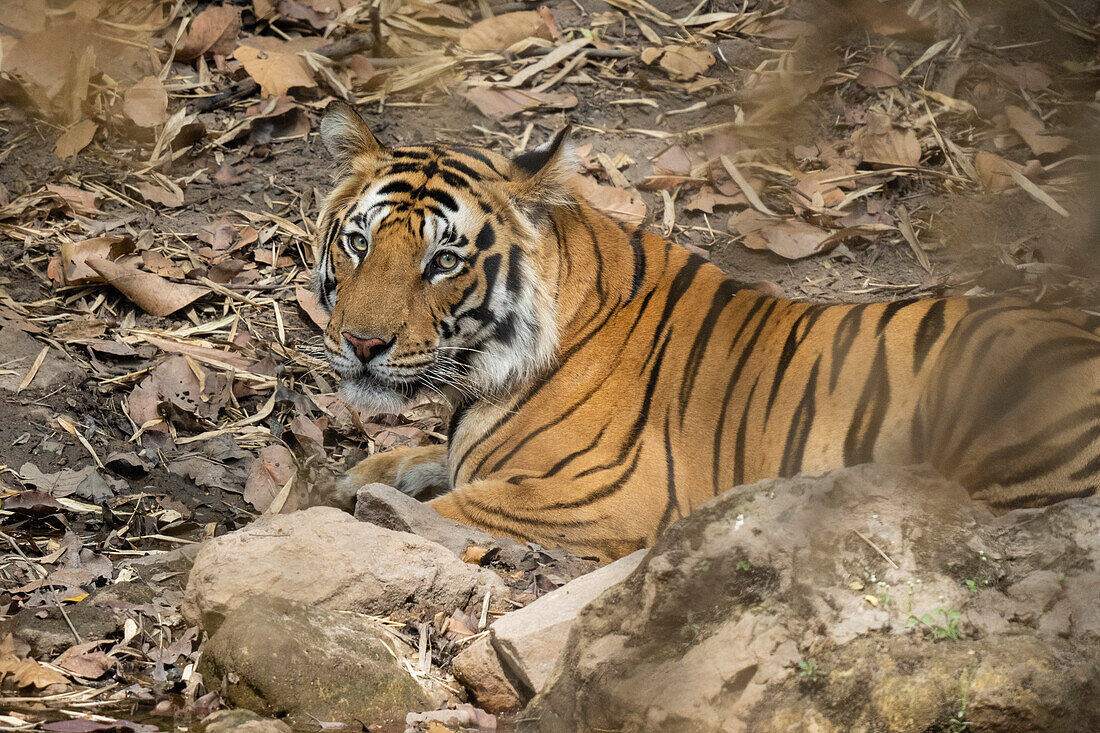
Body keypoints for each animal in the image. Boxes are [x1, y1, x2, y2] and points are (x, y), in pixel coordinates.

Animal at [308, 101, 1100, 559]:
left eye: (443, 260)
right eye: (358, 243)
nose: (361, 344)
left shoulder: (603, 495)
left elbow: (441, 511)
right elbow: (422, 465)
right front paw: (359, 479)